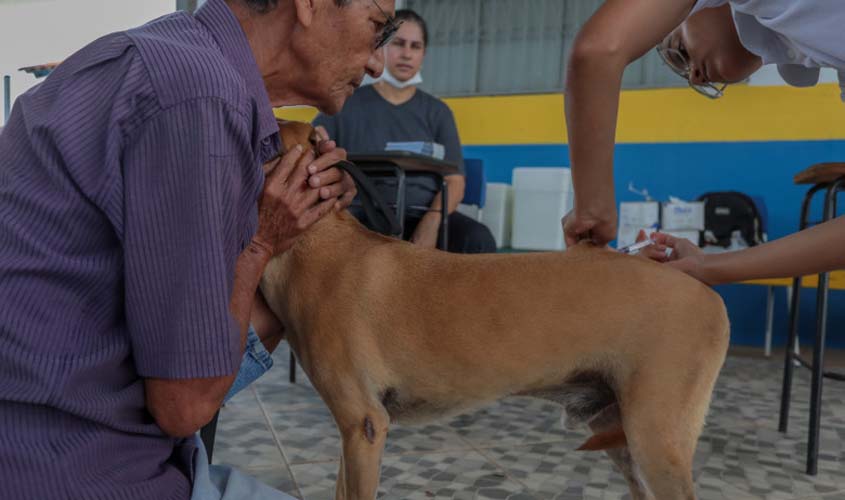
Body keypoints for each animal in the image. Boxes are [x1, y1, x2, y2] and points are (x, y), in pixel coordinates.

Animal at [260, 122, 728, 500]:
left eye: (268, 138)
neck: (317, 246)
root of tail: (709, 295)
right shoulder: (353, 433)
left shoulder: (364, 425)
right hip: (620, 433)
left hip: (656, 437)